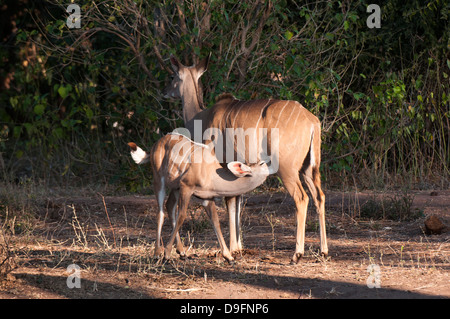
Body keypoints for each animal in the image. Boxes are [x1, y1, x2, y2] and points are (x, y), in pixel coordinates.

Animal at [127, 134, 268, 262]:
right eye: (262, 163)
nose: (268, 163)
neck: (211, 173)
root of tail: (155, 145)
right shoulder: (186, 187)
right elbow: (182, 215)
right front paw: (166, 254)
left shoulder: (207, 198)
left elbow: (215, 221)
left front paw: (229, 257)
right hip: (159, 179)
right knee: (160, 212)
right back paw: (157, 253)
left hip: (175, 187)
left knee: (169, 206)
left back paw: (182, 252)